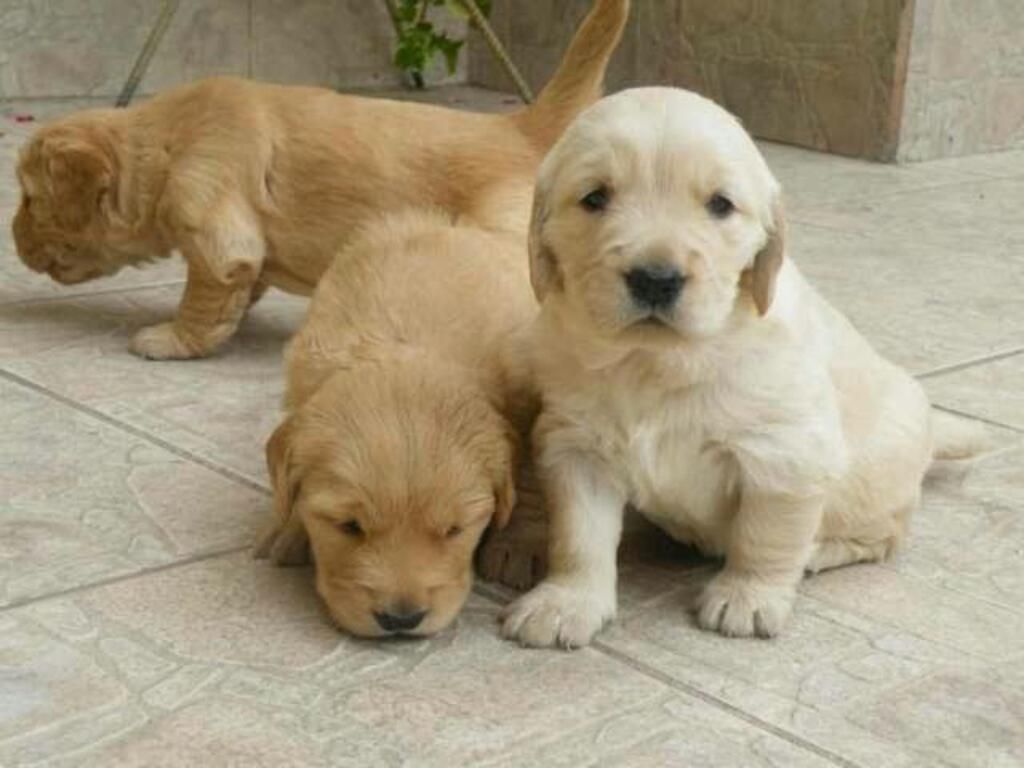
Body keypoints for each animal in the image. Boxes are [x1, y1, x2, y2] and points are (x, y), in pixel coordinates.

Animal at [12, 0, 626, 360]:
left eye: (28, 199)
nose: (12, 239)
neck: (163, 142)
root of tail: (521, 127)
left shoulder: (213, 220)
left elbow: (203, 296)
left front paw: (168, 339)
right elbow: (240, 289)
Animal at [256, 201, 536, 638]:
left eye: (455, 530)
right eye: (349, 526)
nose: (401, 619)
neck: (406, 344)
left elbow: (527, 480)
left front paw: (515, 542)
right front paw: (291, 528)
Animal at [499, 85, 987, 651]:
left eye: (720, 205)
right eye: (595, 198)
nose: (656, 278)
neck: (657, 362)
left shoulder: (784, 453)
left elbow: (766, 535)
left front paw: (749, 597)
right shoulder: (577, 447)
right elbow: (578, 537)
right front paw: (565, 602)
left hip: (872, 487)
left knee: (887, 534)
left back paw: (821, 550)